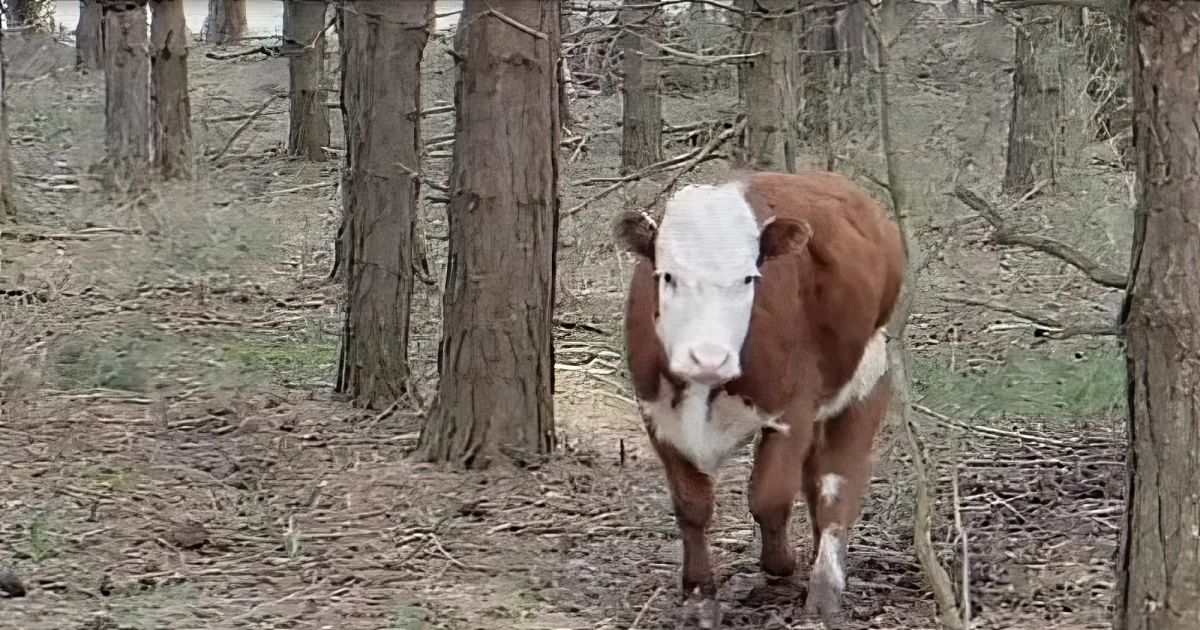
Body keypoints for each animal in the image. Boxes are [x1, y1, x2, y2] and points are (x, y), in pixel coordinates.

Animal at [615, 171, 906, 627]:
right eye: (667, 276)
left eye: (749, 278)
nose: (707, 357)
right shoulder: (657, 415)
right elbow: (691, 507)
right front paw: (699, 598)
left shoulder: (793, 409)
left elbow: (769, 498)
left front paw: (781, 567)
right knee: (815, 478)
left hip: (870, 374)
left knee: (837, 479)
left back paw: (825, 585)